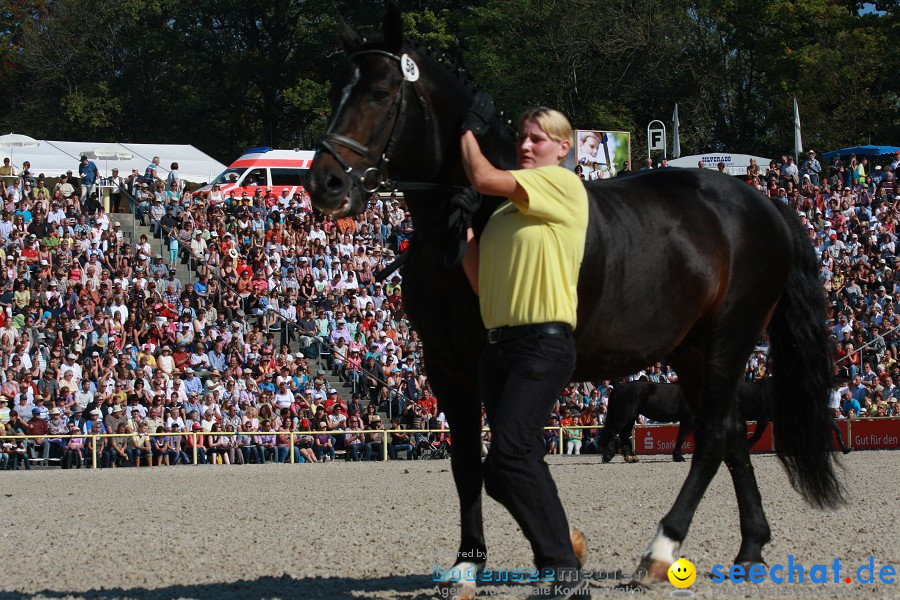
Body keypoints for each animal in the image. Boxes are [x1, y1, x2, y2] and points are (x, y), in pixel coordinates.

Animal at [310, 3, 844, 584]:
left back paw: (662, 550)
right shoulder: (447, 365)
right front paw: (470, 562)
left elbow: (501, 465)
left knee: (712, 438)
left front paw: (563, 545)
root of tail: (762, 204)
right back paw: (750, 547)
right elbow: (470, 466)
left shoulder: (498, 361)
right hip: (691, 349)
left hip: (730, 338)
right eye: (336, 88)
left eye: (381, 92)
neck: (469, 217)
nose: (325, 184)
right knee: (726, 431)